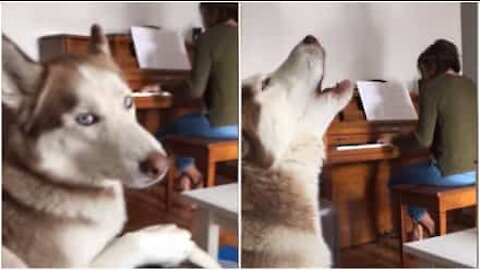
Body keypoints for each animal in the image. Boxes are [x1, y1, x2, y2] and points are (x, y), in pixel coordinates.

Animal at [1, 24, 219, 268]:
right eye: (85, 119)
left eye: (128, 101)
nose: (161, 165)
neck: (62, 181)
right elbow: (130, 240)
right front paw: (166, 239)